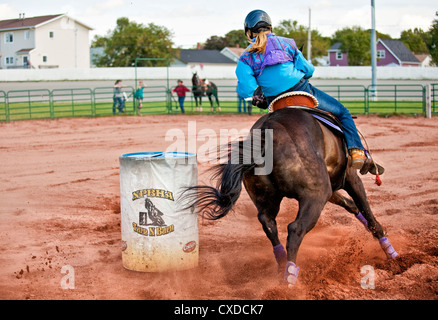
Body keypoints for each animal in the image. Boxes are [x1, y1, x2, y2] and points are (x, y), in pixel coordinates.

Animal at [183, 103, 398, 288]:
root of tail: (266, 132)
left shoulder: (331, 189)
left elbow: (351, 205)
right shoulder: (349, 178)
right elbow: (367, 211)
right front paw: (392, 255)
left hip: (272, 200)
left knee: (269, 224)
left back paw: (281, 269)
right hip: (315, 195)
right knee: (295, 229)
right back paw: (290, 280)